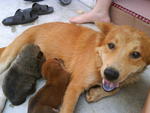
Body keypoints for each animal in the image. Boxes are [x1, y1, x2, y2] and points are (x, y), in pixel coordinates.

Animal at [0, 21, 150, 112]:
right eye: (111, 45)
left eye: (136, 54)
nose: (110, 74)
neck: (98, 60)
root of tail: (35, 27)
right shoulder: (74, 86)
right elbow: (68, 108)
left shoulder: (123, 80)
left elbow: (116, 89)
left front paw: (96, 93)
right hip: (9, 55)